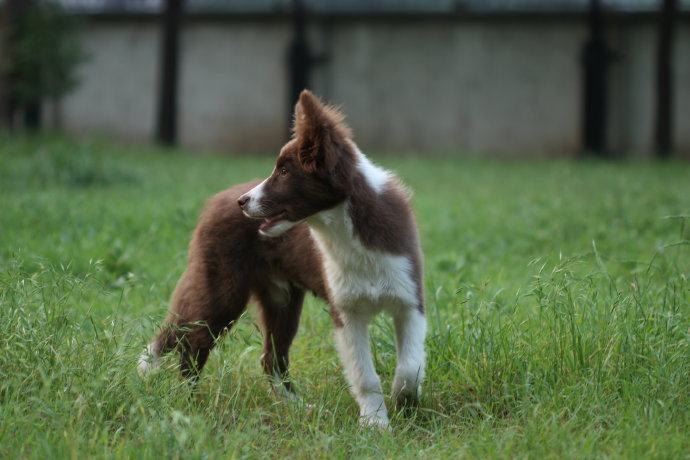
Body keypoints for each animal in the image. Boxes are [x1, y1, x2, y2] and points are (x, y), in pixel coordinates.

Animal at [139, 90, 424, 428]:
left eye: (285, 172)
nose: (243, 202)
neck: (345, 228)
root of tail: (217, 199)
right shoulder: (346, 313)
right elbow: (365, 376)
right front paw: (375, 425)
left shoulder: (409, 298)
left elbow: (410, 367)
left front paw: (405, 402)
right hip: (222, 289)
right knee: (192, 340)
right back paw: (188, 402)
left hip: (281, 298)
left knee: (270, 357)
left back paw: (295, 406)